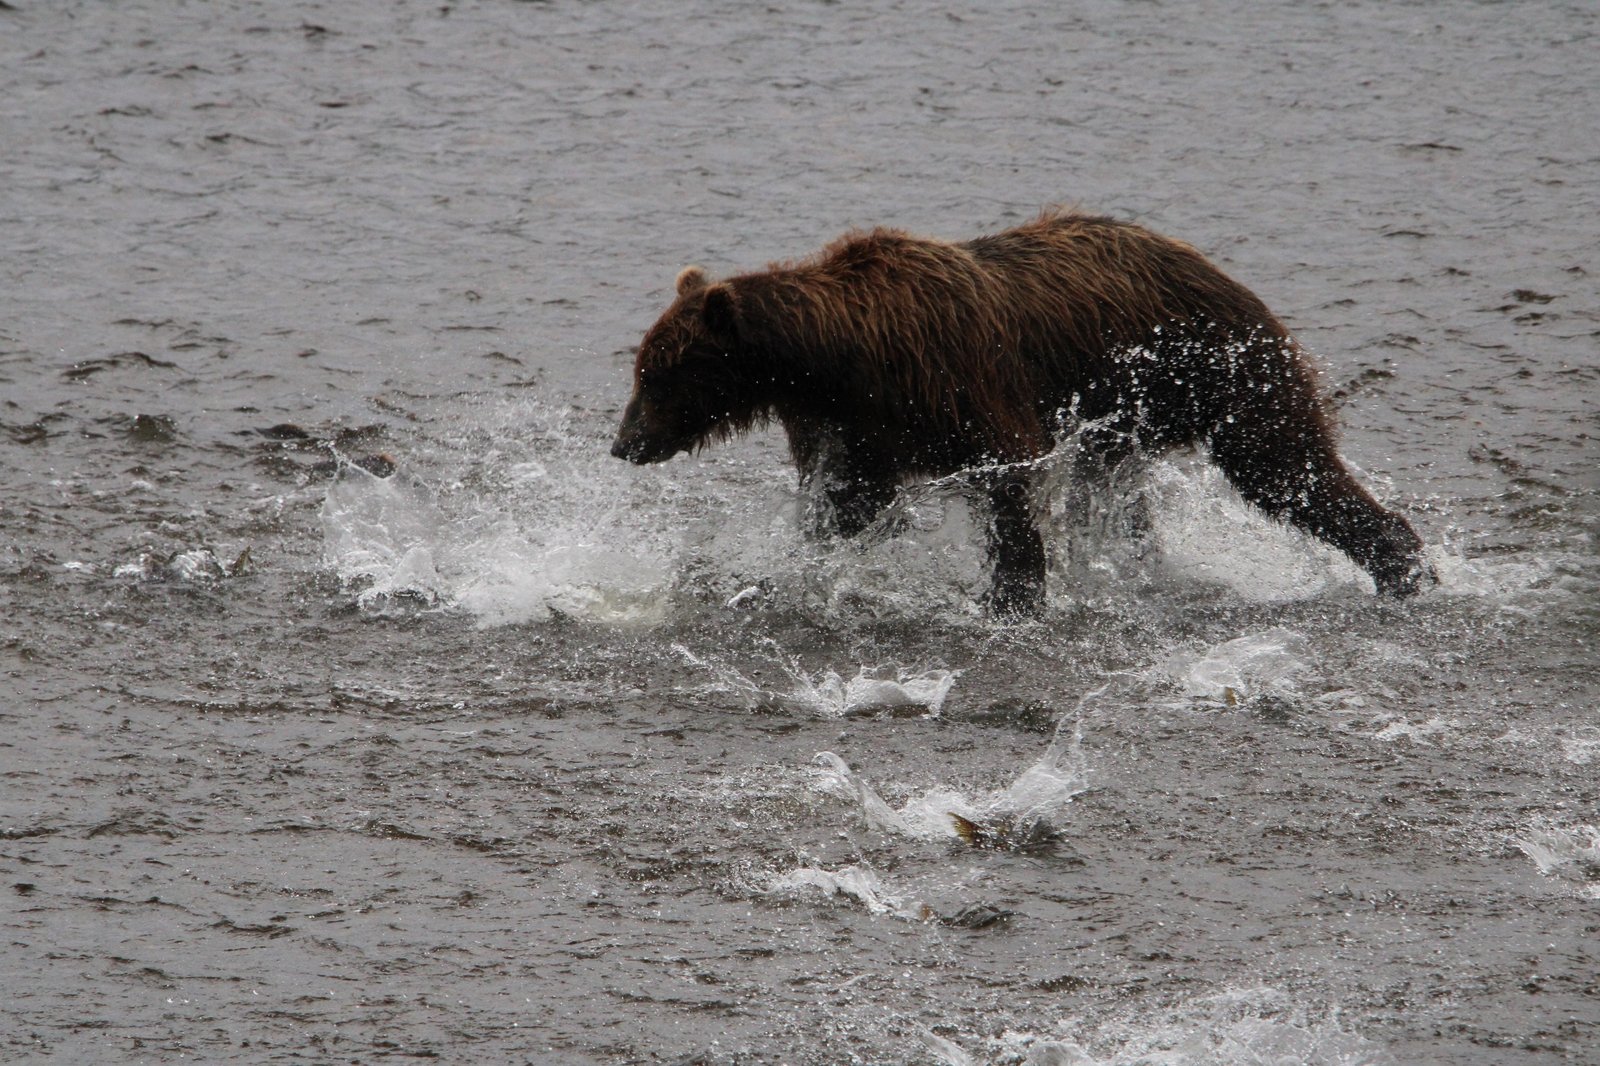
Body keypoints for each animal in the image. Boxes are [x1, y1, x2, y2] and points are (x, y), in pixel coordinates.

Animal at [611, 209, 1430, 616]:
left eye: (654, 375)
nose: (623, 443)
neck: (833, 360)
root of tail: (1220, 272)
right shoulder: (853, 428)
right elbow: (846, 503)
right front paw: (782, 569)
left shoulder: (958, 386)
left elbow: (1005, 486)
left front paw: (1012, 596)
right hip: (1124, 423)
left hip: (1218, 371)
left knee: (1286, 464)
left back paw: (1400, 561)